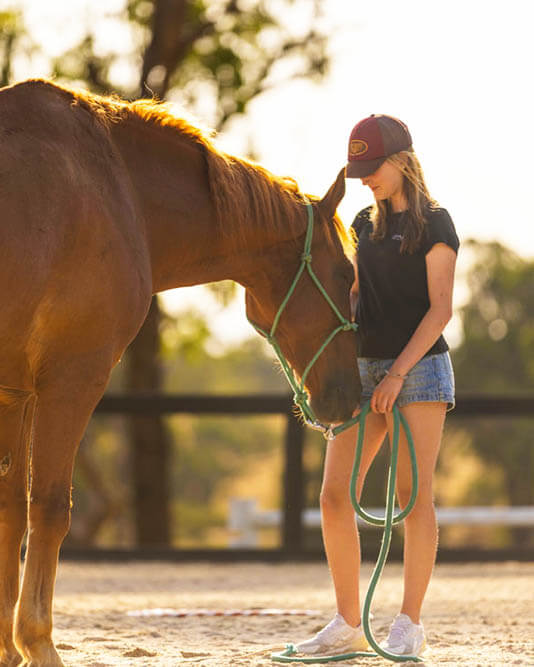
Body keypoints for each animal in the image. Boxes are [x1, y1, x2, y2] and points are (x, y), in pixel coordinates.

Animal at [0, 78, 361, 666]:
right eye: (346, 273)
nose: (348, 395)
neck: (117, 190)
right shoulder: (71, 380)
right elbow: (50, 508)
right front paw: (39, 644)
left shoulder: (14, 392)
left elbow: (11, 508)